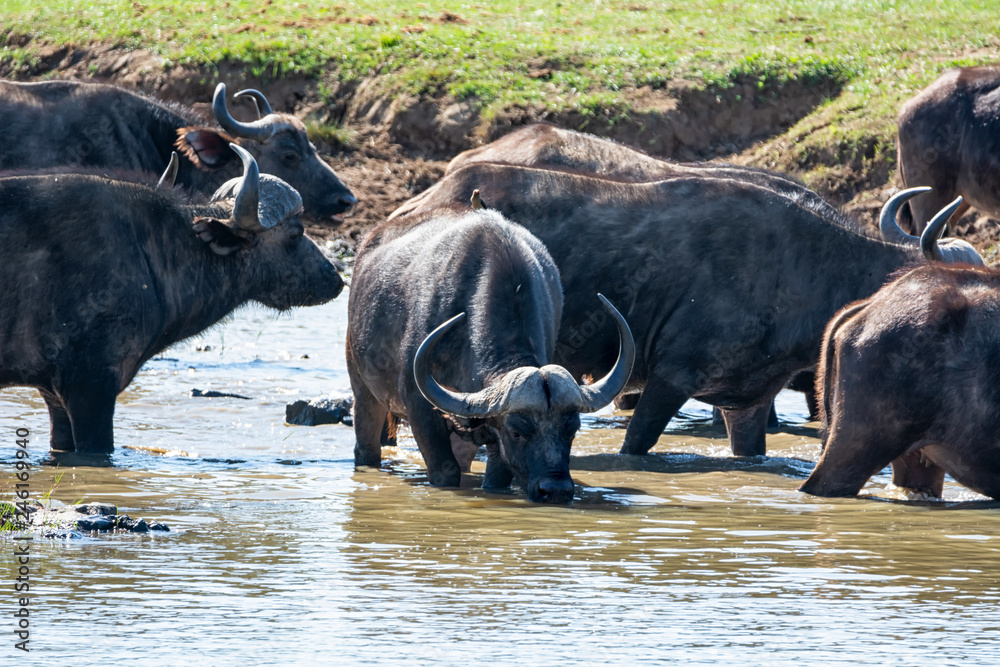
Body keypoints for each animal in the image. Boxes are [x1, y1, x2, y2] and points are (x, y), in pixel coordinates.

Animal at [347, 209, 634, 502]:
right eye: (517, 432)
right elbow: (444, 472)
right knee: (366, 446)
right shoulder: (419, 408)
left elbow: (496, 478)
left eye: (572, 430)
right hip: (362, 386)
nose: (555, 490)